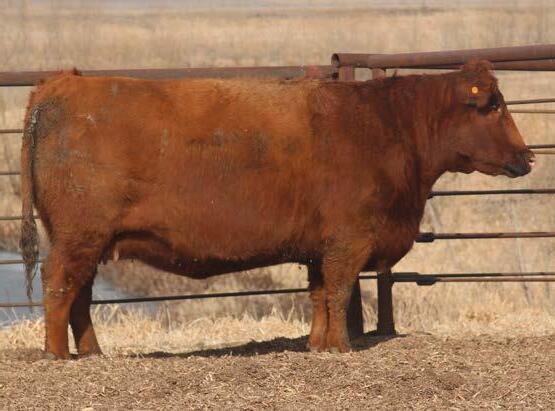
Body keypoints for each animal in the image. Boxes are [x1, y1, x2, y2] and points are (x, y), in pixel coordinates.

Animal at [20, 60, 534, 359]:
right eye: (492, 105)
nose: (528, 156)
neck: (388, 127)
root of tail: (60, 85)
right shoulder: (348, 241)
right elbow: (340, 291)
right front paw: (342, 348)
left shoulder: (320, 247)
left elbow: (320, 295)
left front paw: (317, 345)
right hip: (78, 237)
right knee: (59, 286)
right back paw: (57, 355)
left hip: (90, 241)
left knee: (81, 294)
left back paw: (93, 353)